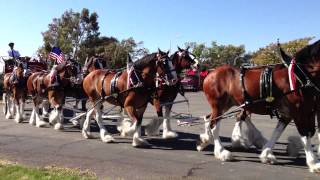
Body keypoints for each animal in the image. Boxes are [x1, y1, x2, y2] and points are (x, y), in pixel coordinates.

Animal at [196, 40, 320, 172]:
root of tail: (211, 73)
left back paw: (205, 141)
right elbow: (305, 135)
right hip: (219, 105)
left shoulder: (291, 113)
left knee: (209, 118)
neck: (300, 75)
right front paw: (314, 162)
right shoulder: (298, 113)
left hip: (226, 105)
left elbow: (278, 132)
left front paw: (267, 154)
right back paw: (222, 152)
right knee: (214, 125)